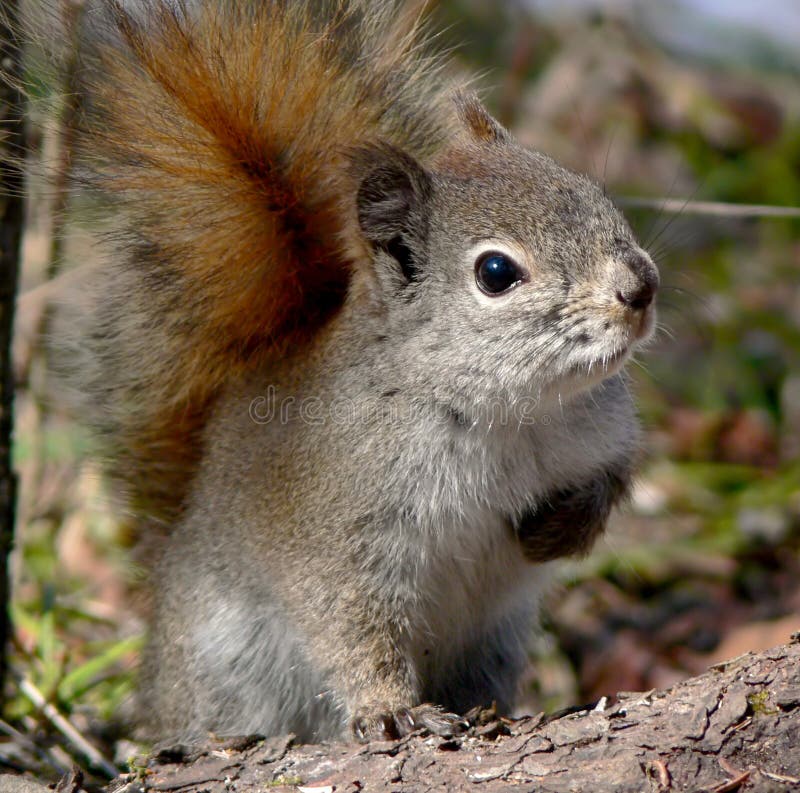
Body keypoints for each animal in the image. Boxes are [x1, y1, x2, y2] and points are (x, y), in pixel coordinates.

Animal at [50, 0, 660, 744]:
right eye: (496, 272)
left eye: (591, 193)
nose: (640, 287)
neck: (511, 414)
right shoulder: (340, 527)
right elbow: (353, 624)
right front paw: (389, 707)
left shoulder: (603, 434)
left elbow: (613, 480)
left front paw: (559, 529)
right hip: (225, 665)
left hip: (495, 639)